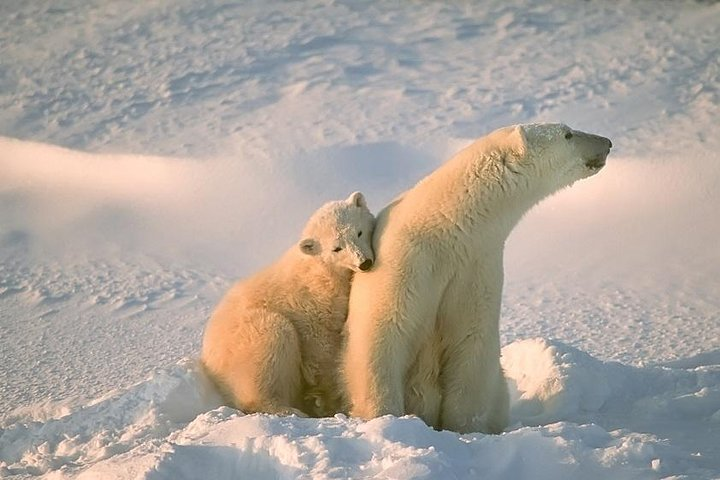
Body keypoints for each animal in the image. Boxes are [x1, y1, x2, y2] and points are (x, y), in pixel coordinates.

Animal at [201, 191, 375, 417]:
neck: (322, 271)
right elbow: (322, 347)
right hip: (247, 340)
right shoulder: (312, 305)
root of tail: (208, 358)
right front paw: (330, 398)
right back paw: (290, 409)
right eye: (337, 248)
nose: (364, 263)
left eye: (359, 232)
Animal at [342, 123, 612, 434]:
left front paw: (466, 429)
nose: (607, 143)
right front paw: (386, 419)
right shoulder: (405, 262)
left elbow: (471, 343)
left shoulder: (476, 264)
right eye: (567, 133)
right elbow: (384, 333)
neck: (447, 226)